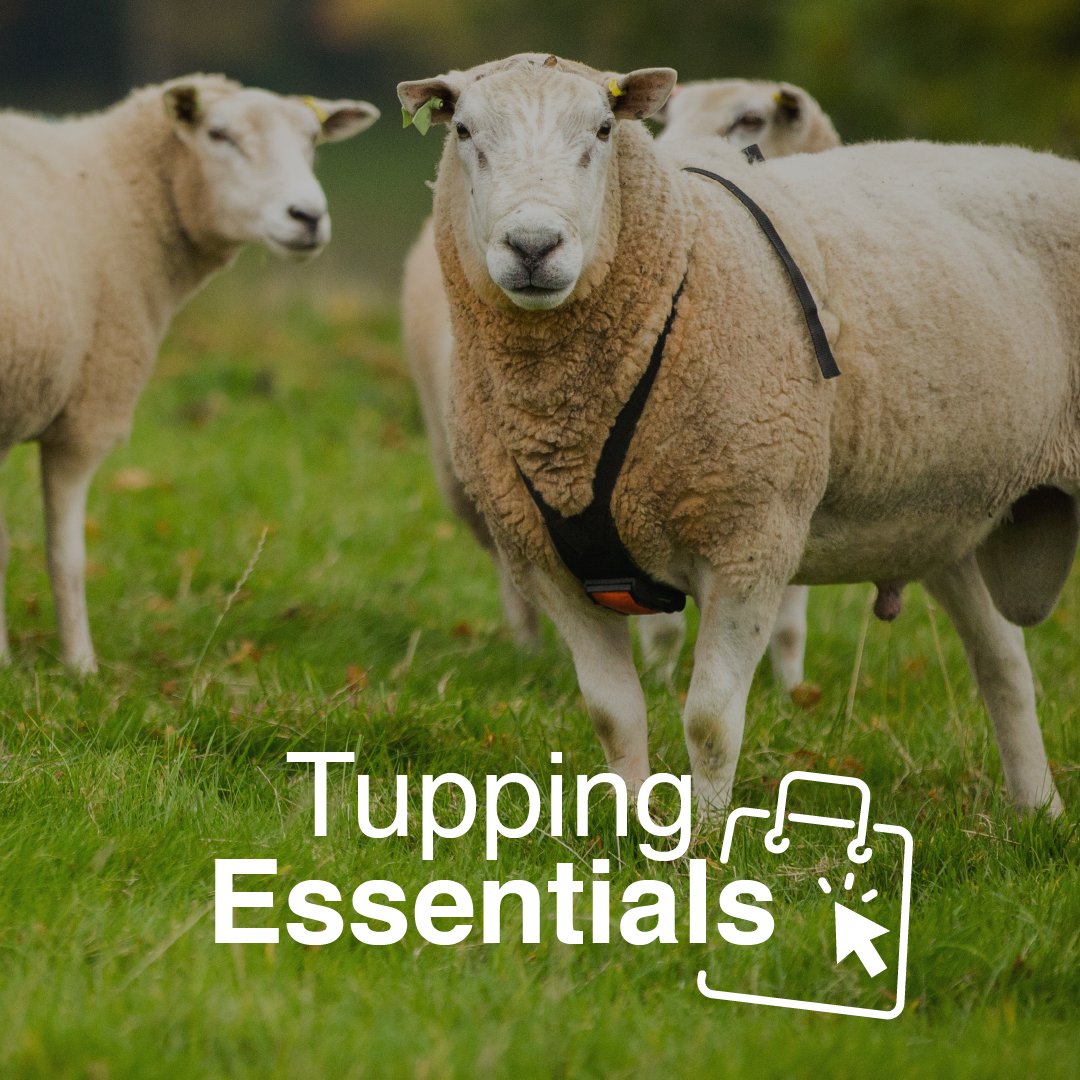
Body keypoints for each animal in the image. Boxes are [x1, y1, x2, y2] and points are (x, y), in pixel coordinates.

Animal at [0, 75, 378, 673]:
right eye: (219, 134)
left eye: (313, 139)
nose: (308, 216)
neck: (117, 191)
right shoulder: (87, 410)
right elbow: (66, 555)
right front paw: (79, 667)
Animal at [402, 72, 839, 686]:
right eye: (462, 130)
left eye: (752, 119)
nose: (532, 247)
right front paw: (658, 676)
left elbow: (788, 613)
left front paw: (791, 689)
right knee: (512, 577)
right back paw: (528, 651)